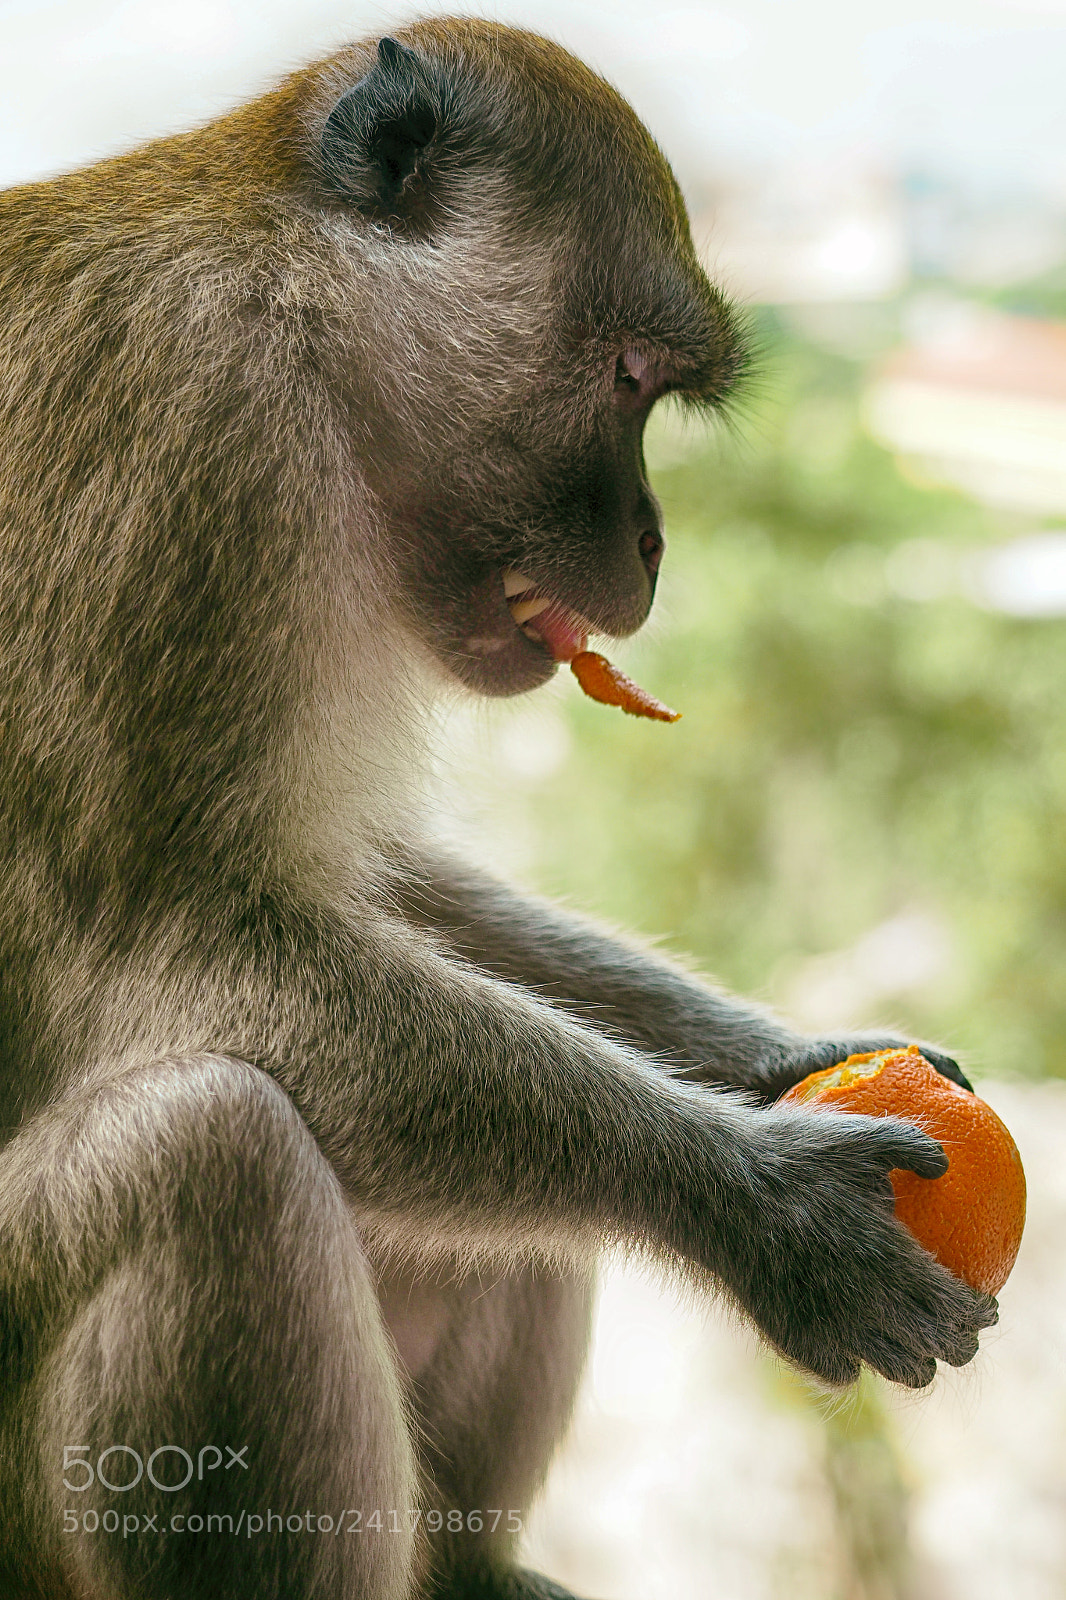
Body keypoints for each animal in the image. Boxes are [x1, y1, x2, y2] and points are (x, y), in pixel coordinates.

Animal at [0, 17, 996, 1600]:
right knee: (212, 1155)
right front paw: (754, 1198)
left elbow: (368, 882)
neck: (299, 317)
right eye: (628, 377)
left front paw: (775, 1062)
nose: (652, 541)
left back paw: (470, 1568)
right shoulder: (188, 448)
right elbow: (174, 950)